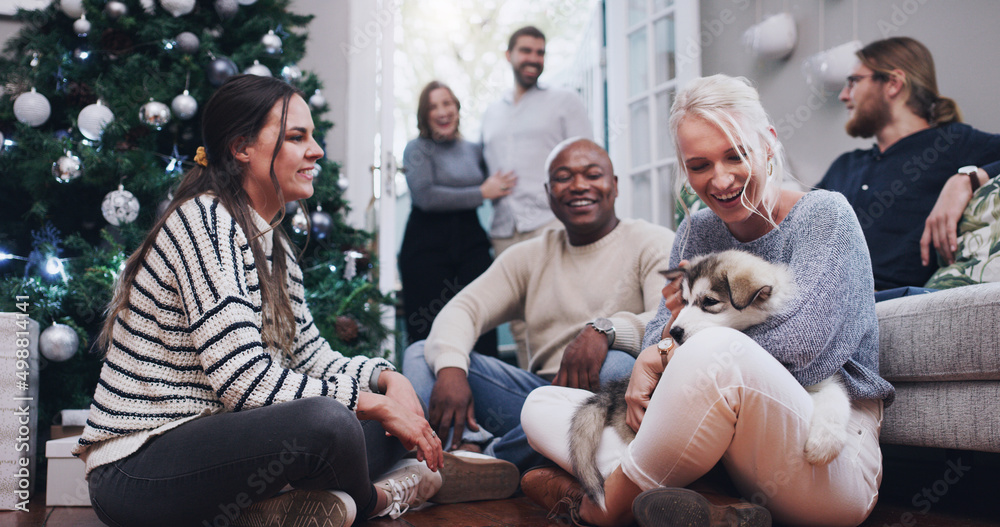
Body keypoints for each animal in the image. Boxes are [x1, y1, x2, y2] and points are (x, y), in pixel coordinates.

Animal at [576, 252, 848, 508]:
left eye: (709, 301)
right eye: (683, 301)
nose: (674, 332)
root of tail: (615, 389)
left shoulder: (815, 375)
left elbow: (836, 396)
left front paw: (824, 443)